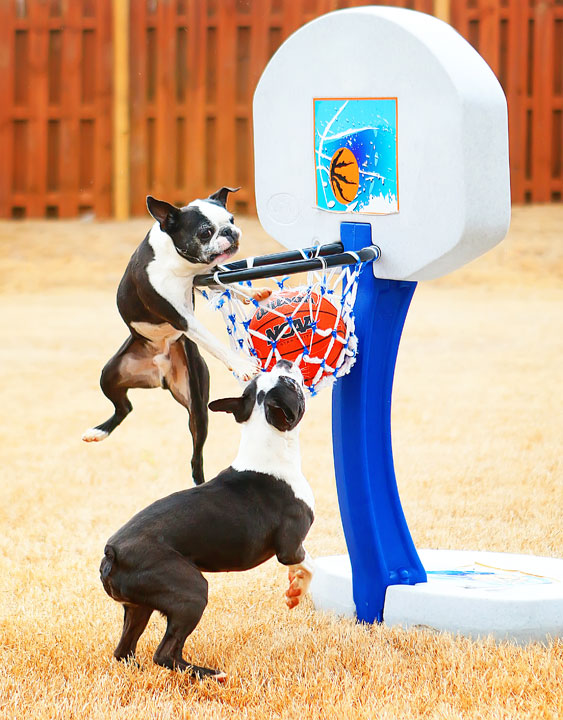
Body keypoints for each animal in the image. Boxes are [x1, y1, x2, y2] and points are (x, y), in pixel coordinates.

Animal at [83, 188, 268, 486]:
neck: (179, 261)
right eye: (205, 232)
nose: (231, 231)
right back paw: (98, 432)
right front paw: (241, 365)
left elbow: (228, 279)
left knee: (188, 447)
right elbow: (214, 341)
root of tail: (159, 371)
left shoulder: (205, 275)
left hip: (197, 404)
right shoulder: (182, 318)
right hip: (109, 375)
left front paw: (254, 291)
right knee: (126, 408)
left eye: (231, 219)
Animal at [99, 360, 316, 680]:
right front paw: (297, 591)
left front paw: (294, 590)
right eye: (290, 383)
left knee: (124, 651)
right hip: (192, 592)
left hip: (139, 606)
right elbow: (310, 564)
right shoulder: (290, 548)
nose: (284, 361)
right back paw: (210, 674)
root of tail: (112, 553)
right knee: (165, 653)